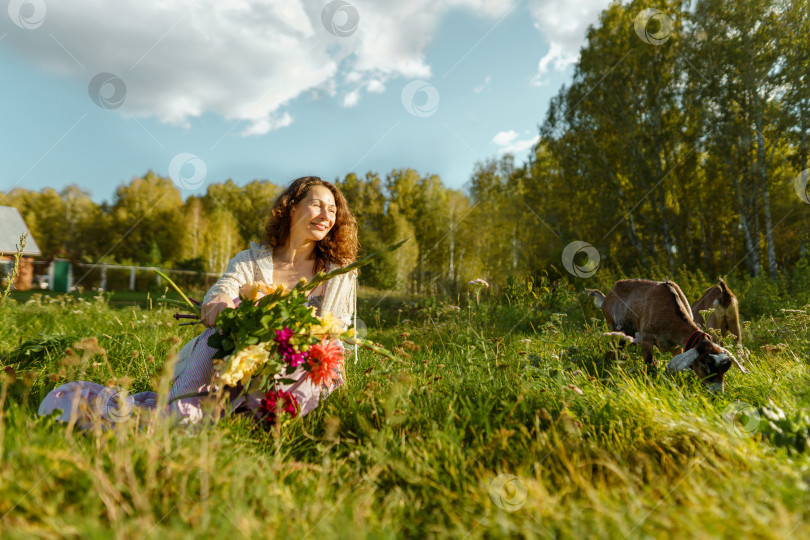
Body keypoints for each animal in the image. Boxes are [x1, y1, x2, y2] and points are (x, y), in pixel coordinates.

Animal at [580, 278, 744, 392]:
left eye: (725, 370)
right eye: (706, 364)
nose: (717, 394)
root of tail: (606, 297)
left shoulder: (677, 346)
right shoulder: (646, 338)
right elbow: (650, 366)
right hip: (615, 329)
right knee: (615, 352)